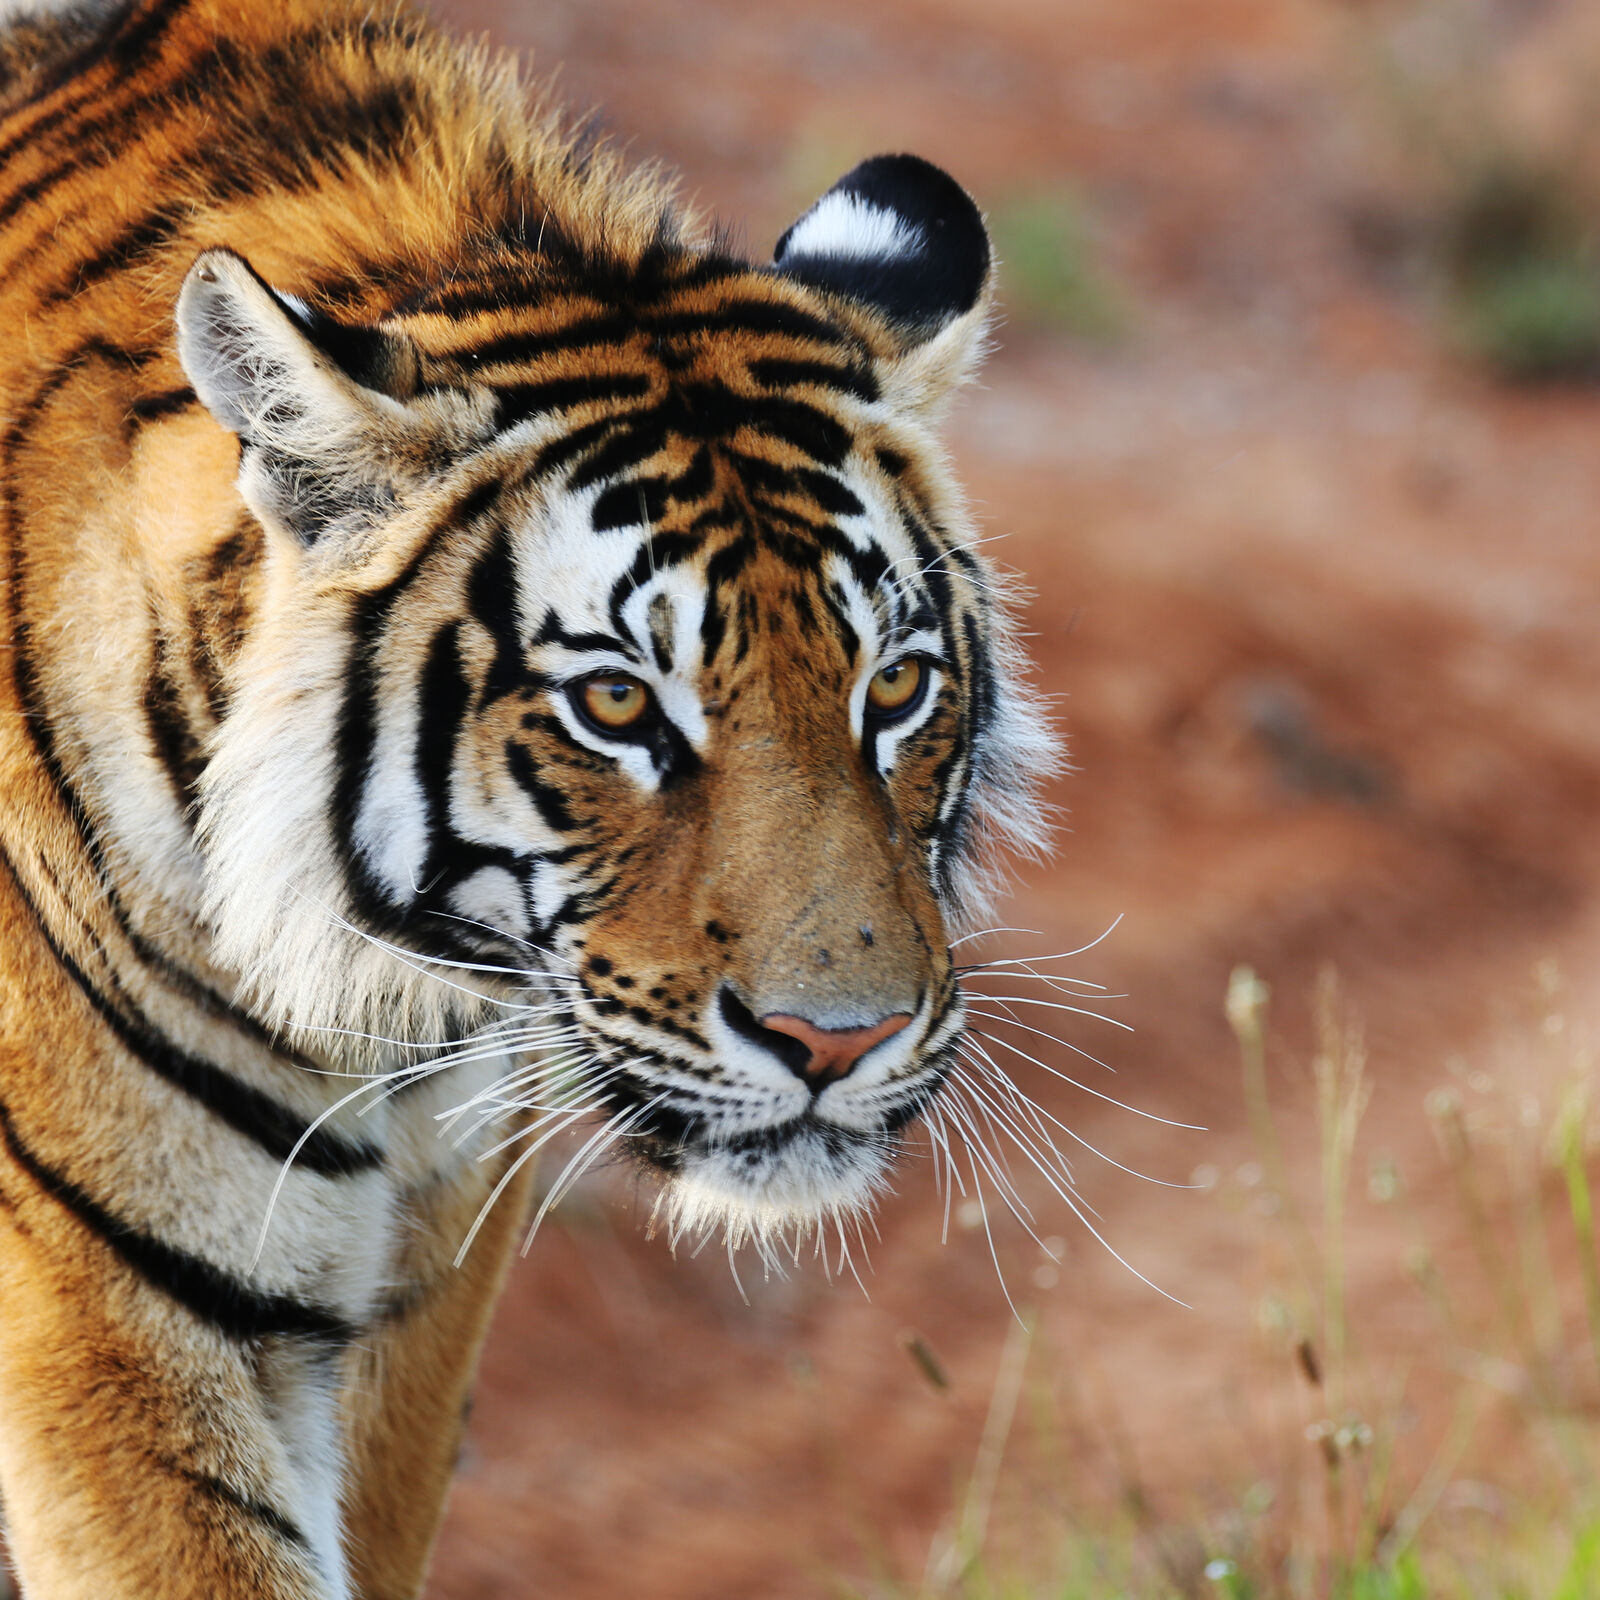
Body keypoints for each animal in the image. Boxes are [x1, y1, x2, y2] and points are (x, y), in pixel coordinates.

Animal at [0, 0, 1062, 1593]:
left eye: (893, 688)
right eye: (616, 704)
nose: (839, 1042)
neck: (385, 1017)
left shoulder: (420, 1278)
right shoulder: (117, 1316)